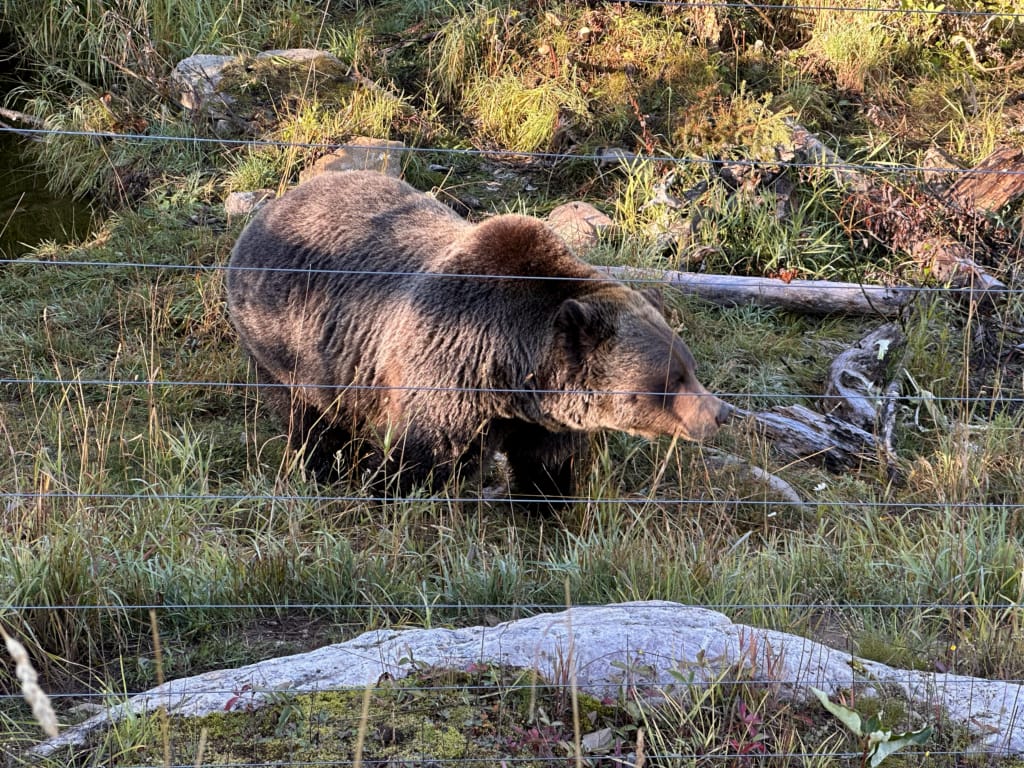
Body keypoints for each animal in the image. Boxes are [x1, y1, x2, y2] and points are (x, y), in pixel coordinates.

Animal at [226, 170, 730, 501]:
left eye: (690, 368)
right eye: (670, 379)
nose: (721, 413)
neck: (513, 375)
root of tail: (277, 203)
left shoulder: (542, 416)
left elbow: (547, 464)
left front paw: (546, 503)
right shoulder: (444, 369)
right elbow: (421, 459)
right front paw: (387, 487)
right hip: (283, 341)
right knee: (308, 416)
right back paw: (323, 468)